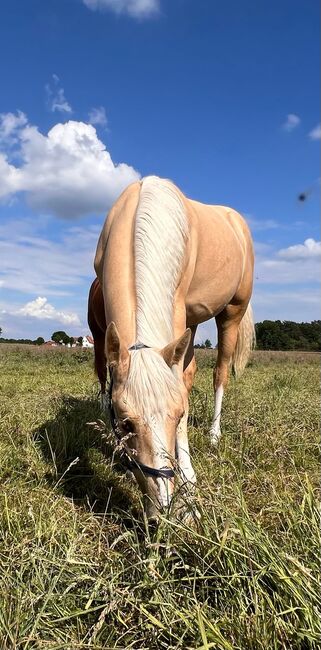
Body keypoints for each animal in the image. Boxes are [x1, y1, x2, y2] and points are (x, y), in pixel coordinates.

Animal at [89, 175, 254, 520]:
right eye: (125, 423)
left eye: (178, 417)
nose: (162, 508)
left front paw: (188, 489)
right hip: (191, 322)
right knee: (188, 370)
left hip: (231, 312)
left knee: (220, 372)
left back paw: (214, 435)